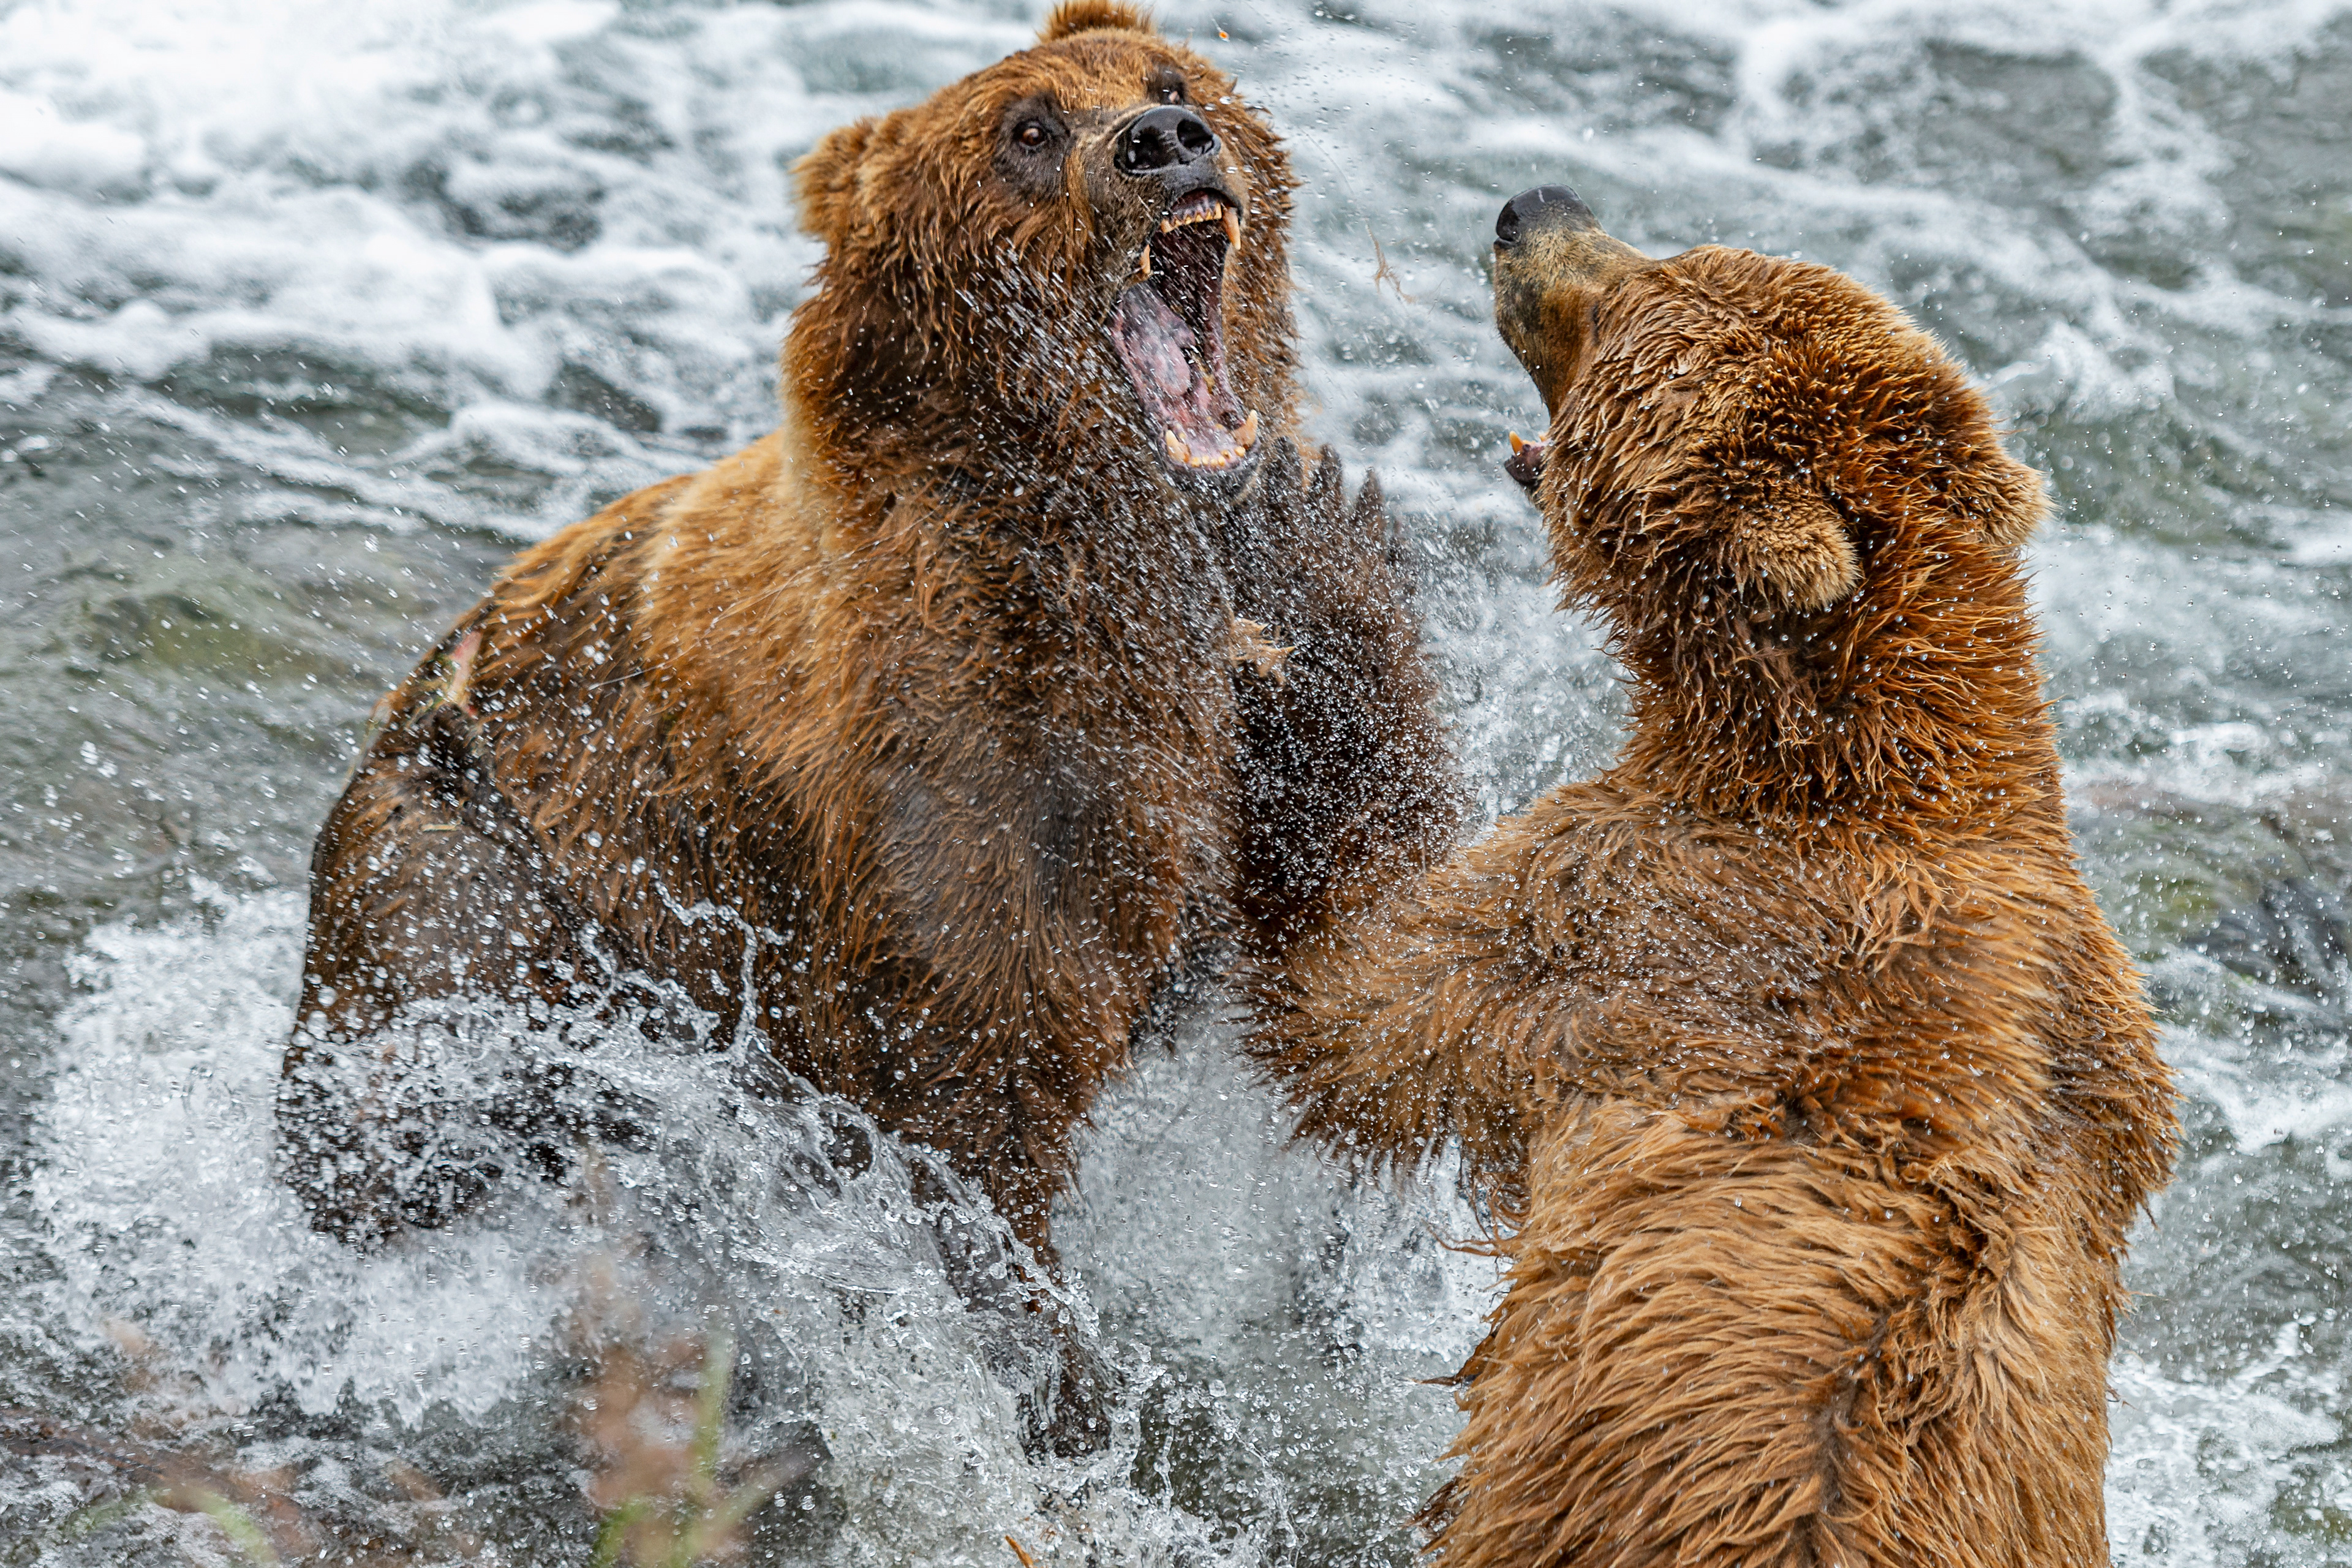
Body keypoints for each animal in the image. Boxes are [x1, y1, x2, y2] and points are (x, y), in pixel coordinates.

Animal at [275, 0, 1458, 1449]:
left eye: (1172, 76)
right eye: (1028, 131)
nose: (1166, 140)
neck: (1094, 543)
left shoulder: (1217, 743)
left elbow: (1365, 934)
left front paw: (1317, 531)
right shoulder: (955, 771)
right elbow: (982, 1092)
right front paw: (1067, 1395)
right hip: (471, 870)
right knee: (399, 1113)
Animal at [1244, 185, 2178, 1565]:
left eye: (1634, 293)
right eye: (1679, 248)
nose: (1530, 207)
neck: (1828, 767)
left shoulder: (1644, 924)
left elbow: (1356, 1002)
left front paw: (1319, 551)